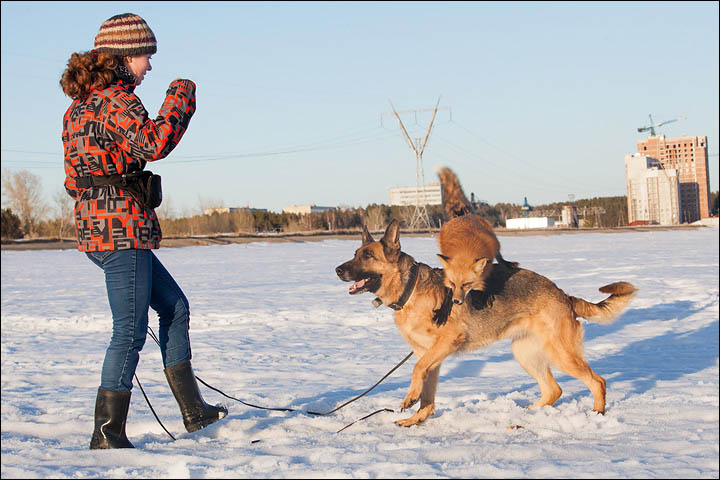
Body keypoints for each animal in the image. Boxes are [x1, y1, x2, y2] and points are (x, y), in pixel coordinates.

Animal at [336, 219, 636, 426]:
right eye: (355, 253)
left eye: (368, 256)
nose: (337, 270)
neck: (410, 289)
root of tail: (563, 294)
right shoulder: (431, 356)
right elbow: (427, 394)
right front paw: (417, 419)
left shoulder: (442, 346)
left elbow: (416, 372)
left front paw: (410, 400)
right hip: (525, 353)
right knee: (554, 389)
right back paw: (531, 413)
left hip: (560, 353)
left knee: (597, 381)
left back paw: (597, 414)